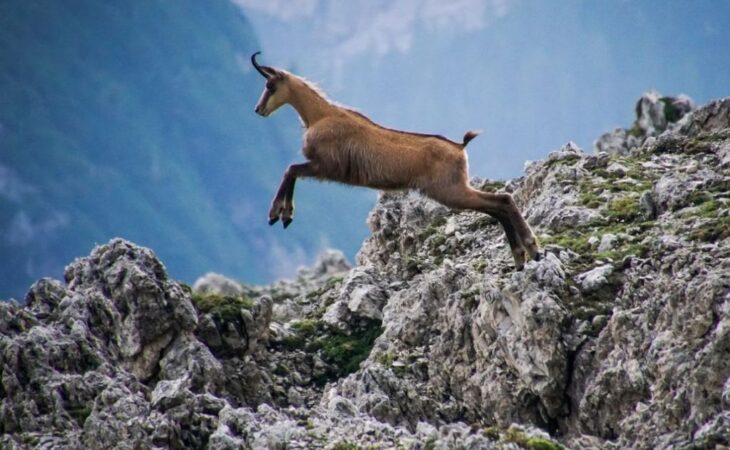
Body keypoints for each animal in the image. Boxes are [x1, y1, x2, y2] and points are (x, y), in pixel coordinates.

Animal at [250, 52, 540, 270]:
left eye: (269, 85)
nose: (258, 110)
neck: (319, 116)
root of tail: (460, 147)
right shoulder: (322, 167)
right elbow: (292, 171)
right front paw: (283, 216)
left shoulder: (325, 166)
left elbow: (291, 170)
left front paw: (279, 214)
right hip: (455, 189)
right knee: (497, 206)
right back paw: (522, 257)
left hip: (450, 190)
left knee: (502, 201)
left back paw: (531, 248)